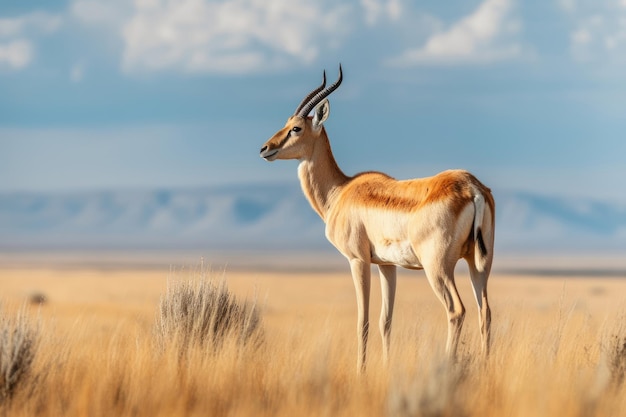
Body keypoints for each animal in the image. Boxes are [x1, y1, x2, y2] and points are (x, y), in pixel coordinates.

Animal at [258, 66, 492, 370]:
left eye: (296, 128)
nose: (265, 148)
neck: (341, 191)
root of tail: (471, 187)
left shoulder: (358, 261)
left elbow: (363, 322)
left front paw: (361, 371)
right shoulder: (387, 266)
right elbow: (385, 322)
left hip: (438, 268)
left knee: (456, 310)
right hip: (478, 264)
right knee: (485, 313)